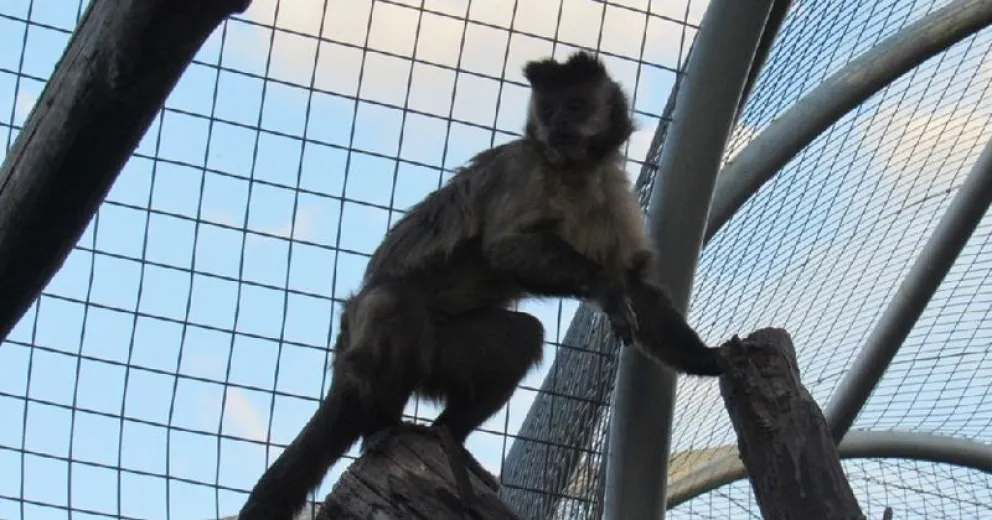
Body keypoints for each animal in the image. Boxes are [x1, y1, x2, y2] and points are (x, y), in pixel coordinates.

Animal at [238, 50, 724, 520]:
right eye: (549, 109)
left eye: (574, 105)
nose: (558, 125)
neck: (576, 173)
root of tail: (342, 359)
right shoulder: (524, 166)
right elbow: (505, 249)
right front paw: (604, 287)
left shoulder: (611, 188)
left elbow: (637, 286)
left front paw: (711, 359)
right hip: (375, 352)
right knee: (389, 303)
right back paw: (382, 427)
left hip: (442, 353)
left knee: (522, 335)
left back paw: (446, 434)